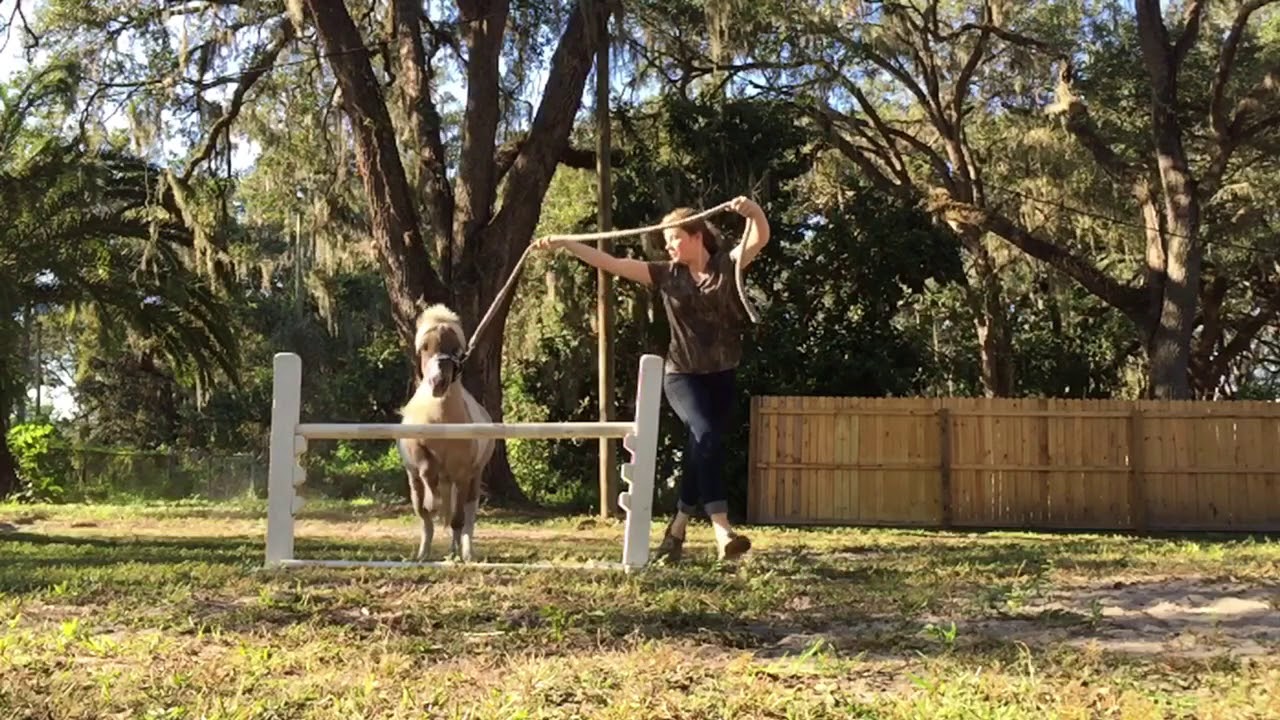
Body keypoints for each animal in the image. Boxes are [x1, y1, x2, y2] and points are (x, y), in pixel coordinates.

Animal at [396, 304, 495, 562]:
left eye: (456, 349)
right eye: (424, 347)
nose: (438, 382)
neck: (440, 418)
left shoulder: (461, 473)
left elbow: (457, 519)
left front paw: (459, 553)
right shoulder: (420, 456)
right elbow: (427, 472)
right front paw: (434, 502)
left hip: (472, 478)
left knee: (465, 516)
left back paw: (463, 553)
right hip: (414, 481)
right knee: (424, 518)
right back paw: (424, 553)